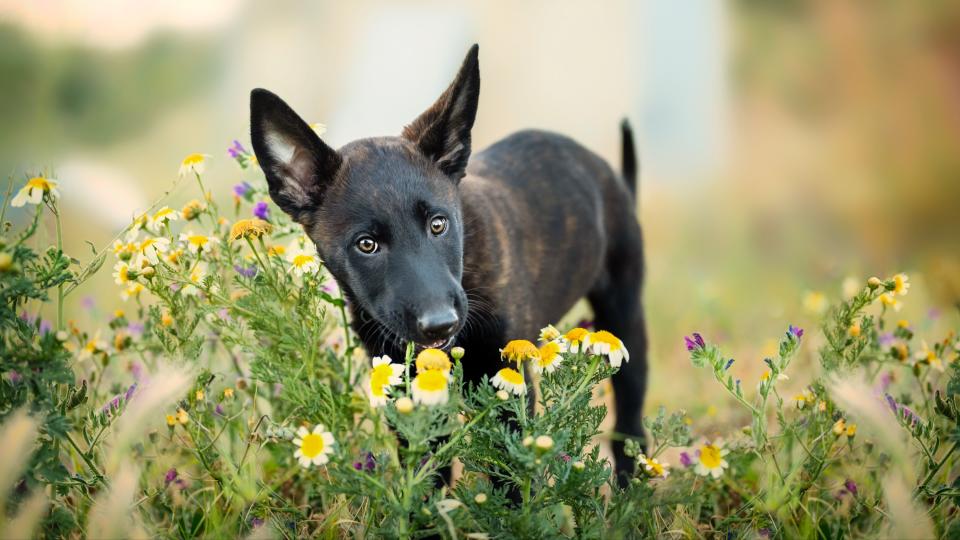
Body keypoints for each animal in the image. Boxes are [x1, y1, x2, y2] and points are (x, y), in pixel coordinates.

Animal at [251, 43, 648, 480]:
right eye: (367, 245)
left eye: (438, 224)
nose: (440, 323)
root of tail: (608, 173)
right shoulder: (405, 395)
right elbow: (424, 477)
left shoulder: (507, 385)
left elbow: (510, 479)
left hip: (625, 315)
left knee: (630, 422)